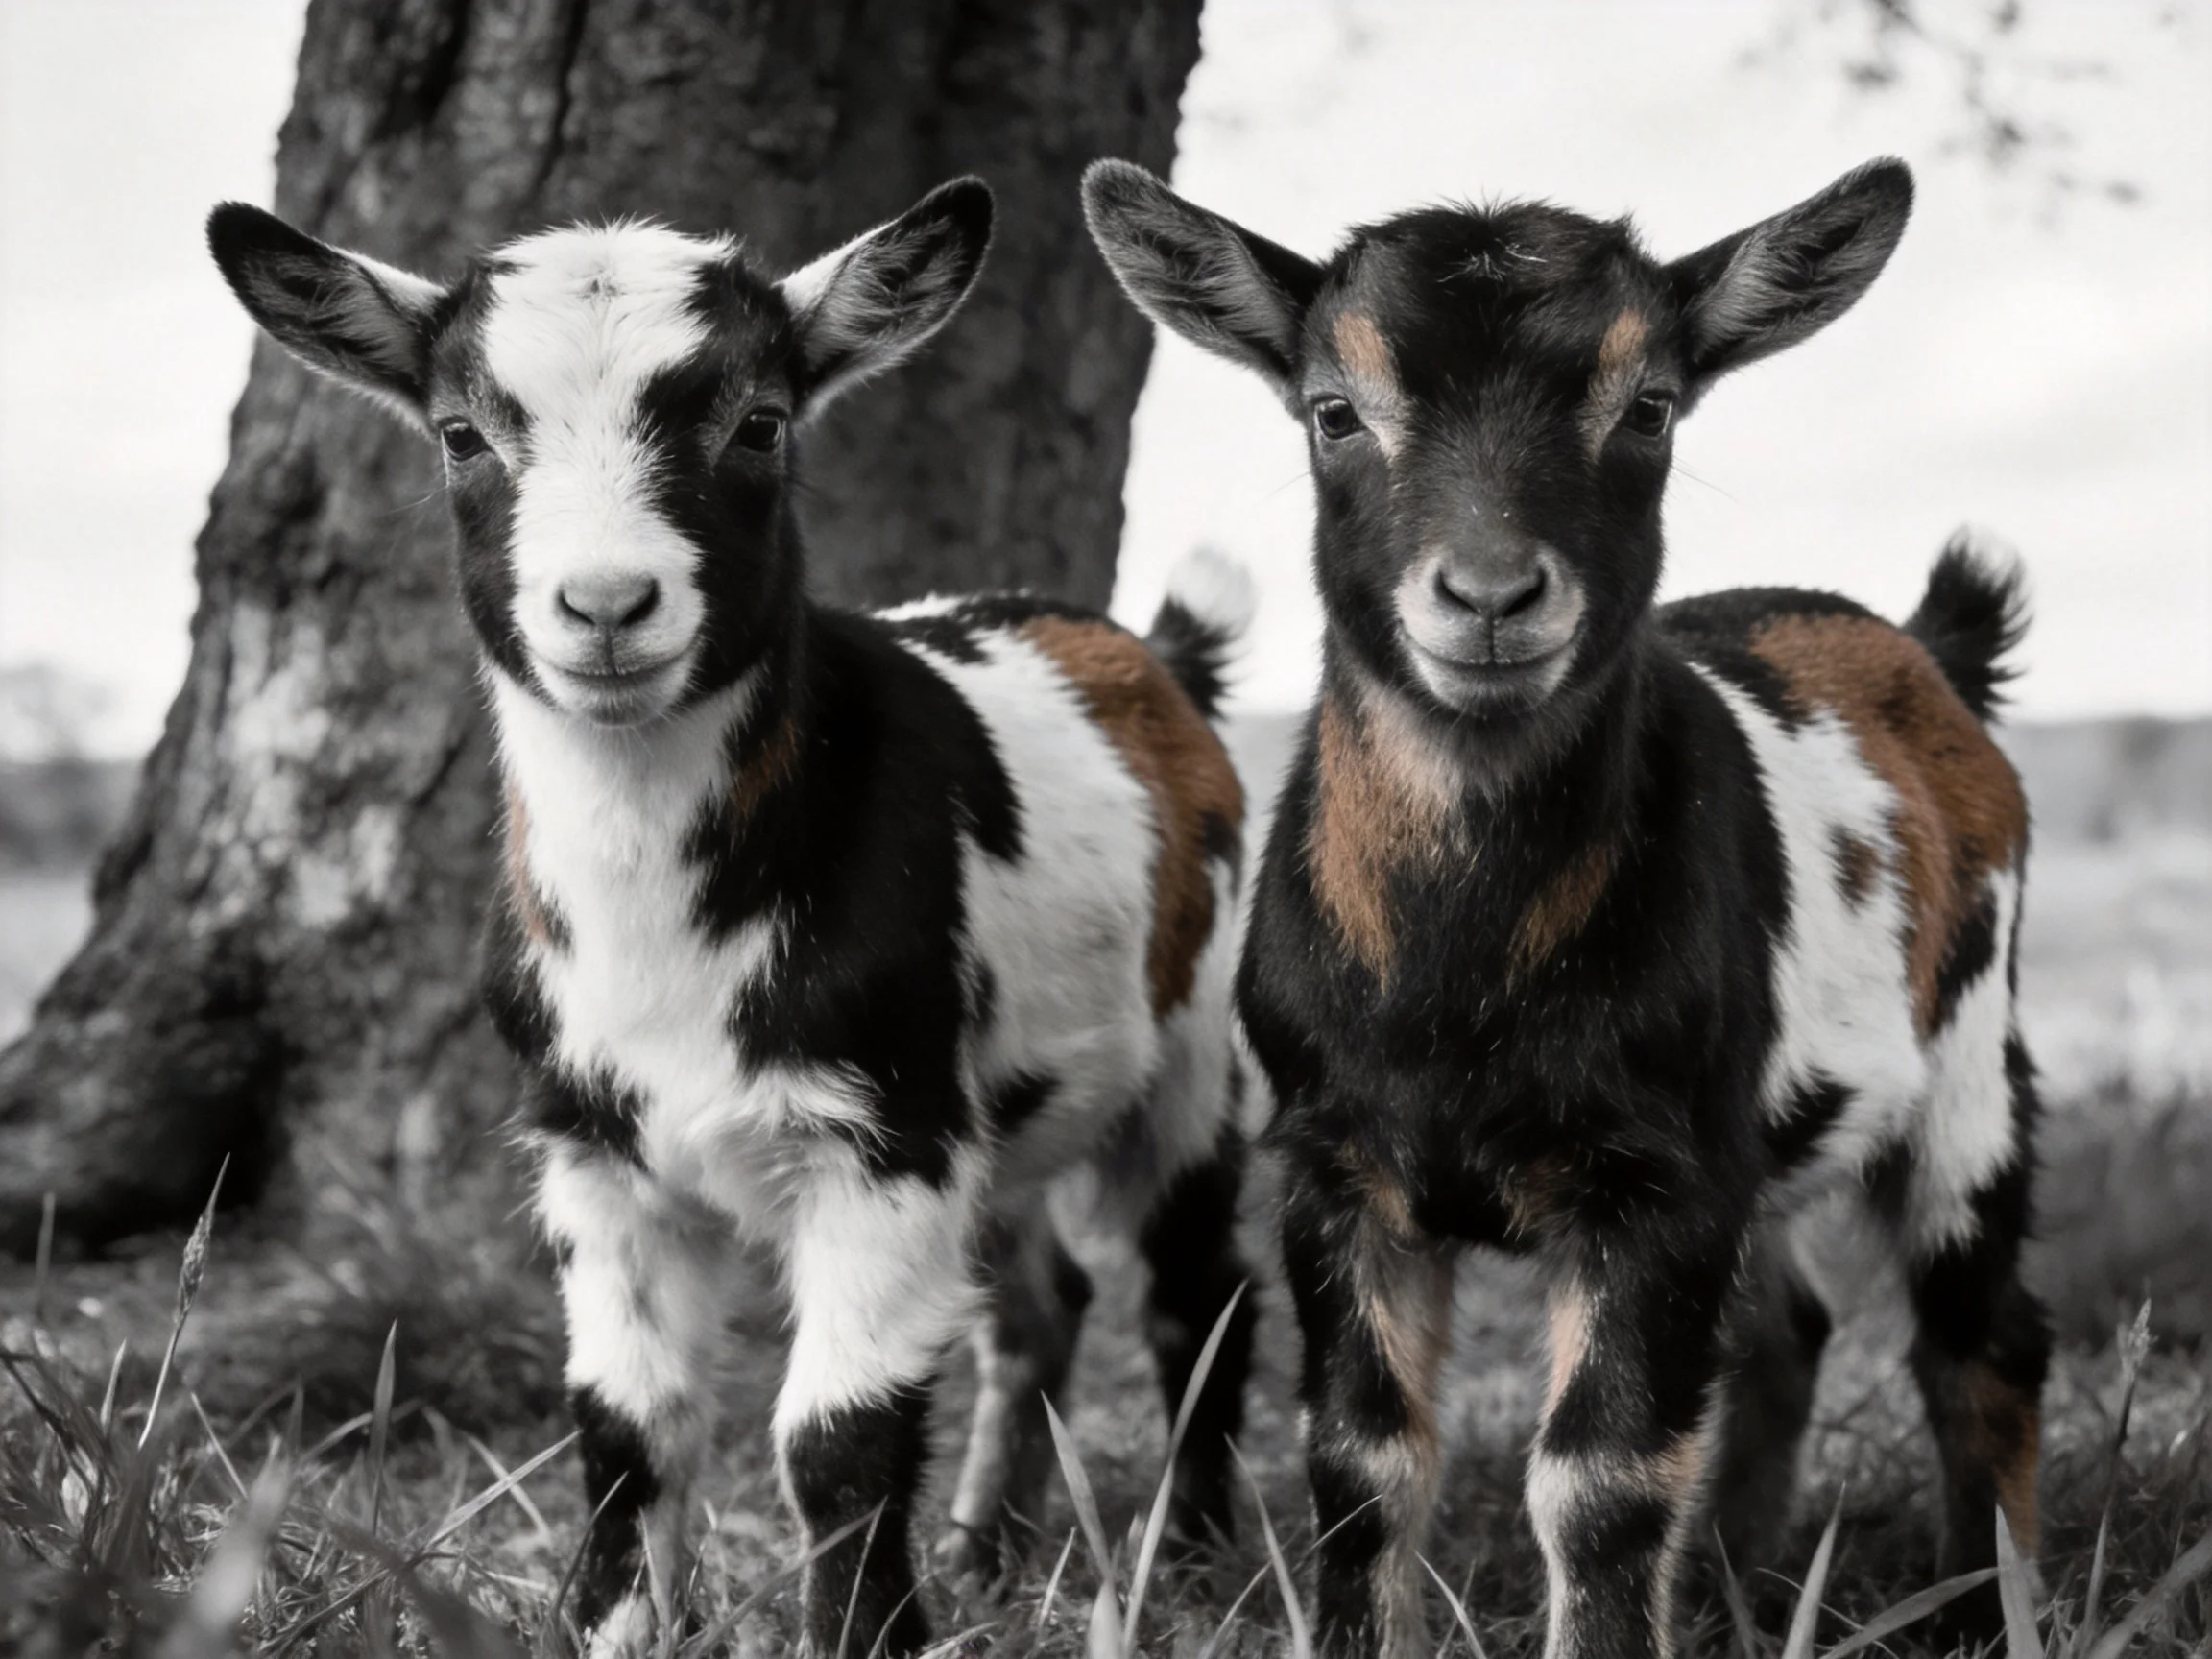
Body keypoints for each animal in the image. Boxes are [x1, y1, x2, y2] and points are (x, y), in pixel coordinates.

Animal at [210, 180, 1259, 1658]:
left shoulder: (882, 1139)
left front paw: (867, 1635)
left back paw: (1204, 1562)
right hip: (999, 1110)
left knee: (1196, 1293)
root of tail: (1155, 656)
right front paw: (610, 1631)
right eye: (463, 435)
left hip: (1193, 1050)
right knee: (1042, 1306)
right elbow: (624, 1425)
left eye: (759, 422)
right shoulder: (593, 1148)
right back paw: (988, 1548)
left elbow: (838, 1434)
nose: (604, 607)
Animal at [1085, 158, 2046, 1659]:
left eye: (1648, 405)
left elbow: (1600, 1479)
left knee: (1982, 1338)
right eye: (1332, 408)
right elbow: (1361, 1464)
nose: (1489, 598)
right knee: (1785, 1333)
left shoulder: (1651, 1181)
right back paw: (1738, 1589)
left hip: (1971, 1070)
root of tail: (1928, 646)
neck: (1455, 981)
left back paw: (1981, 1610)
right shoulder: (1332, 1165)